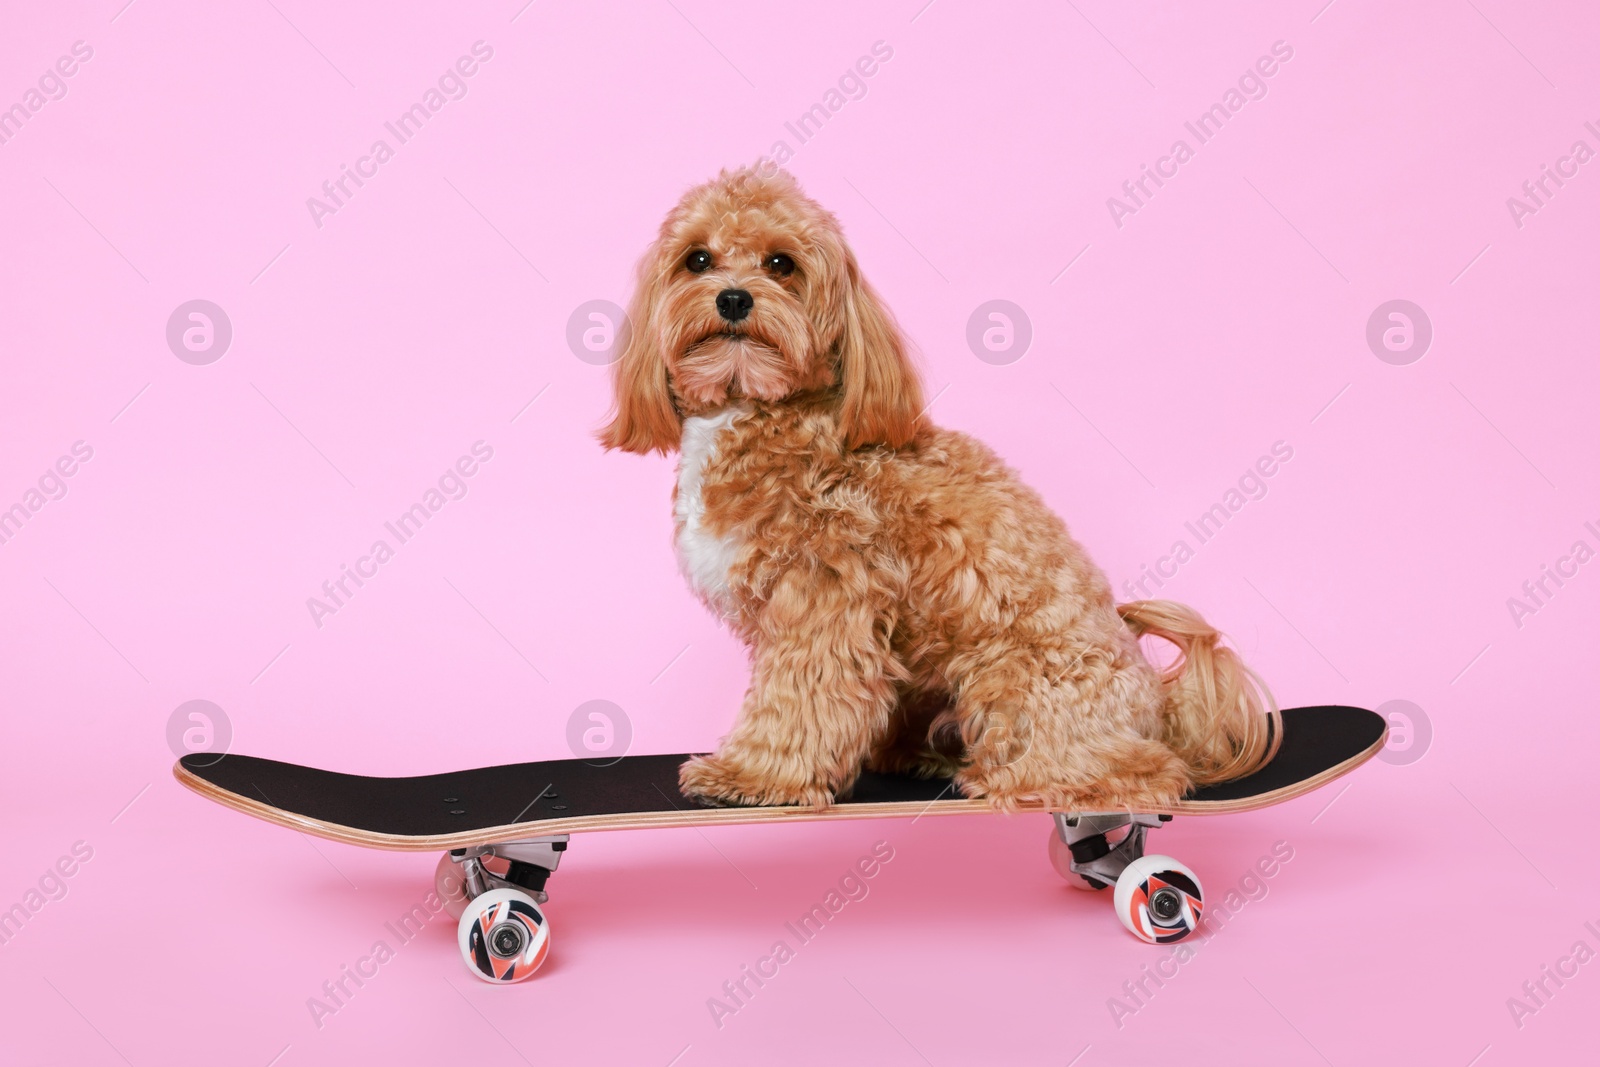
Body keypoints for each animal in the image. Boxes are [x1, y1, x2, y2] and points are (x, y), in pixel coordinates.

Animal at [595, 167, 1280, 809]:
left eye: (781, 264)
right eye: (697, 259)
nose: (734, 299)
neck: (758, 409)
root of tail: (1159, 712)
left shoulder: (824, 595)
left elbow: (799, 699)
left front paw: (754, 776)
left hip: (1016, 688)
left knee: (1143, 772)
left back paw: (1012, 779)